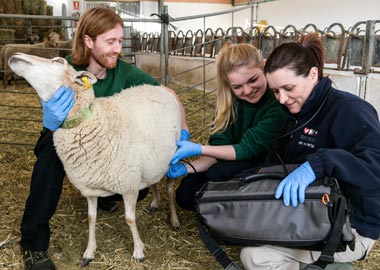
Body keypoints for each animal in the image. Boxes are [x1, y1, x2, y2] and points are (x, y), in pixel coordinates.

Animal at [8, 52, 181, 266]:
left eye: (59, 61)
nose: (16, 55)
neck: (91, 122)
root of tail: (157, 86)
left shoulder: (129, 185)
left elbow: (130, 219)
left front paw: (138, 251)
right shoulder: (90, 187)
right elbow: (91, 218)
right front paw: (89, 251)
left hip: (174, 158)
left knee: (170, 188)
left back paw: (174, 220)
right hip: (153, 159)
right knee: (154, 180)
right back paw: (155, 202)